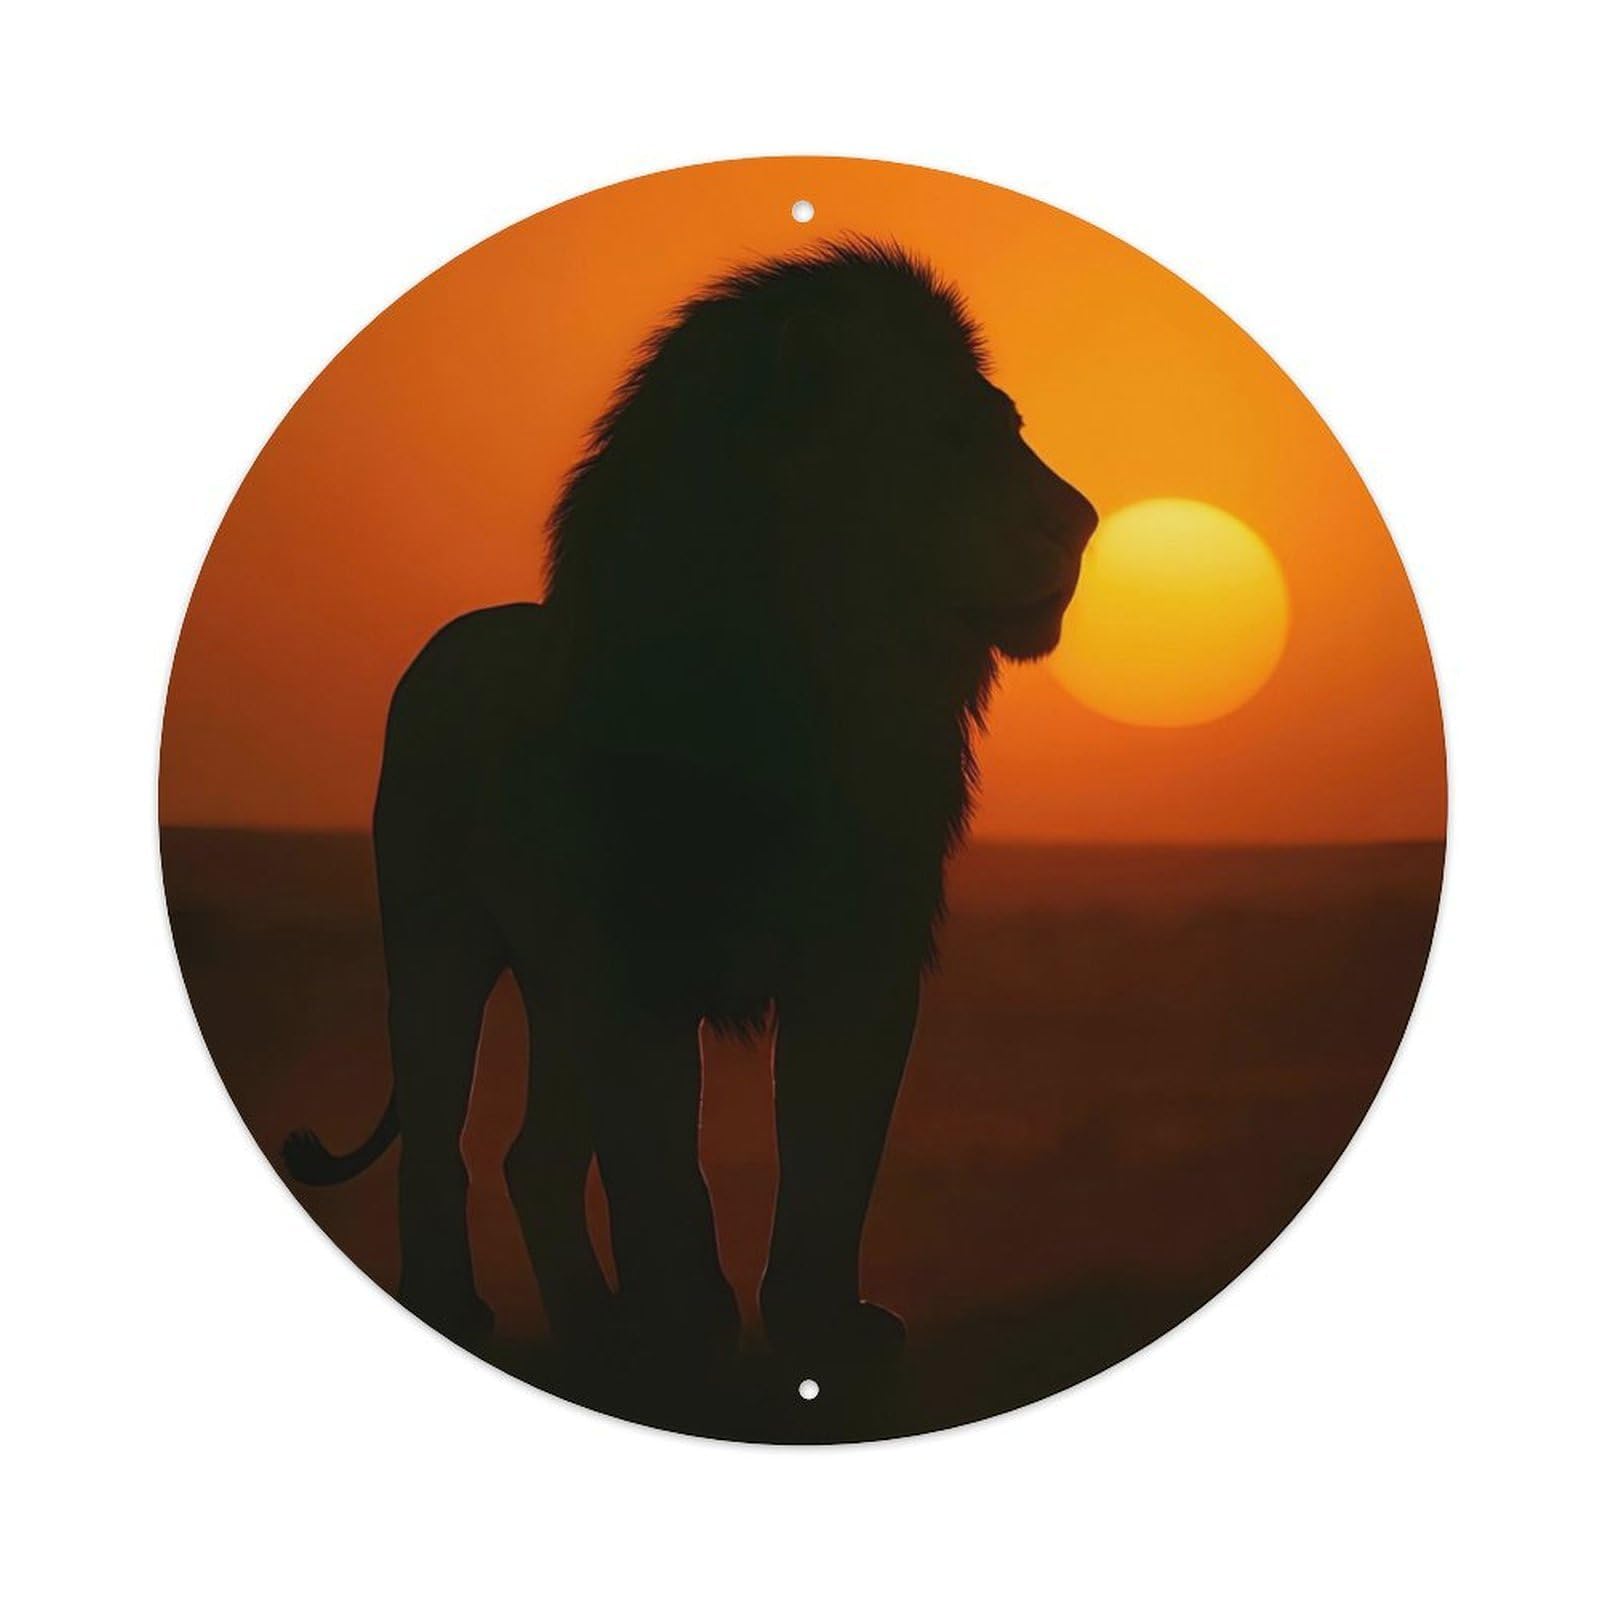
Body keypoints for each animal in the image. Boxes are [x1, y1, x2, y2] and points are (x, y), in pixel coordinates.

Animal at [284, 240, 1097, 1376]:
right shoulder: (637, 953)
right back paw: (457, 1305)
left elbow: (830, 1161)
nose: (1084, 520)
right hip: (439, 942)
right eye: (949, 436)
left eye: (1009, 427)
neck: (815, 688)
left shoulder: (863, 956)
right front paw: (689, 1326)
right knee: (440, 1133)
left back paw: (594, 1326)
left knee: (536, 1155)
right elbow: (665, 1166)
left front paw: (819, 1331)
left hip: (554, 985)